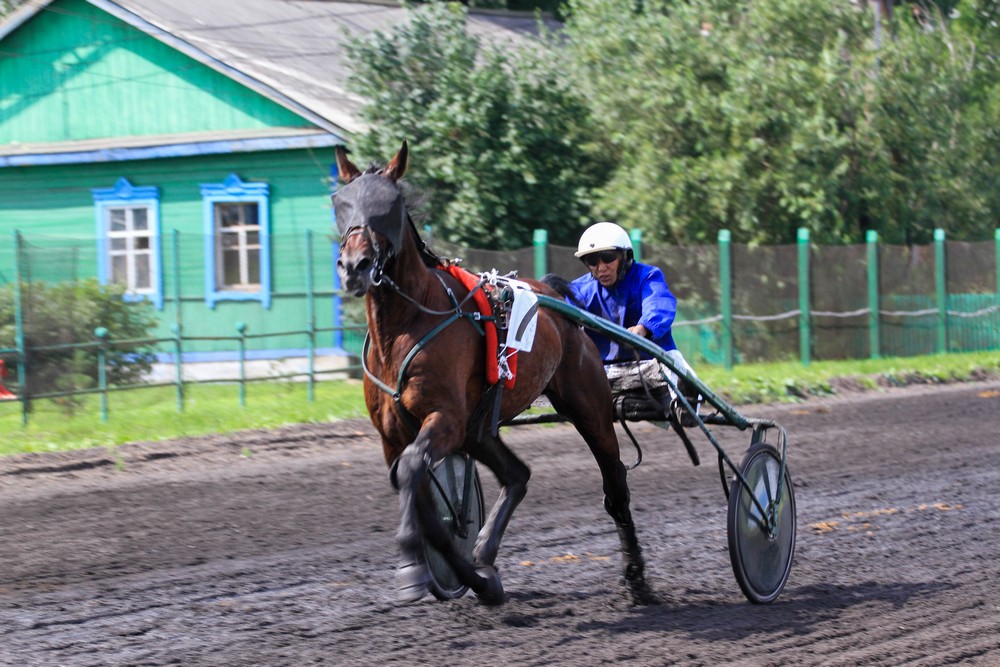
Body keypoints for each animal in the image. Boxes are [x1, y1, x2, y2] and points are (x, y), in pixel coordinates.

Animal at [332, 141, 652, 604]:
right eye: (341, 202)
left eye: (388, 206)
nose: (354, 265)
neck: (407, 324)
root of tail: (556, 296)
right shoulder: (394, 436)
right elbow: (421, 498)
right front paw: (470, 573)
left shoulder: (445, 418)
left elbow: (412, 473)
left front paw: (412, 565)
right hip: (479, 429)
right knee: (517, 475)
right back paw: (484, 558)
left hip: (588, 405)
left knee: (615, 486)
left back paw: (636, 575)